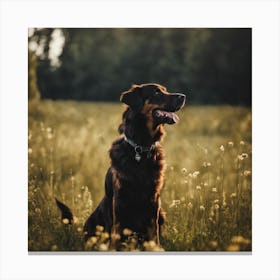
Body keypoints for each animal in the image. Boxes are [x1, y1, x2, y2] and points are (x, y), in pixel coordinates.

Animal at [55, 83, 185, 247]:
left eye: (165, 90)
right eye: (156, 92)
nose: (183, 96)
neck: (141, 149)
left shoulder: (153, 202)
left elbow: (153, 233)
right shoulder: (120, 203)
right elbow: (117, 235)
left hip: (161, 213)